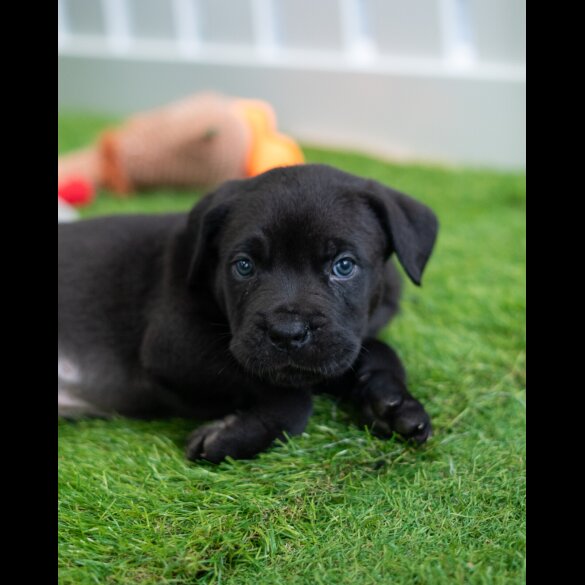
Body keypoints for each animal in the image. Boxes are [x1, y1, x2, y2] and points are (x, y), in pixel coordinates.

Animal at [58, 163, 438, 460]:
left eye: (344, 266)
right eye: (244, 266)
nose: (288, 333)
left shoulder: (341, 343)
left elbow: (378, 350)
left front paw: (393, 404)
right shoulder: (175, 343)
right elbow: (290, 398)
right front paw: (231, 435)